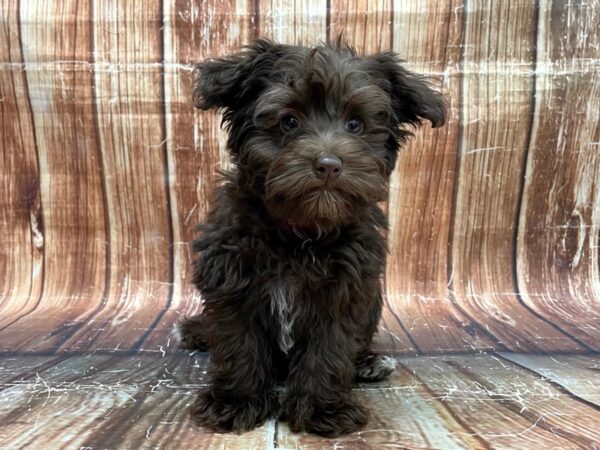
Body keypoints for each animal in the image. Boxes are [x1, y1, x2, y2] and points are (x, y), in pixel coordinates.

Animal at [178, 39, 446, 436]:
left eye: (355, 123)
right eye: (289, 121)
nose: (329, 164)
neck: (301, 231)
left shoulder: (344, 292)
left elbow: (328, 352)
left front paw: (322, 409)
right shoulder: (231, 282)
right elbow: (238, 344)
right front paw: (237, 402)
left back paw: (369, 362)